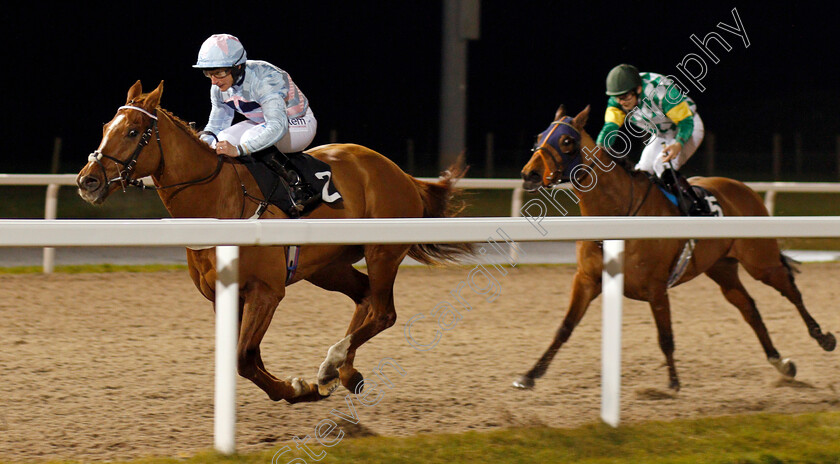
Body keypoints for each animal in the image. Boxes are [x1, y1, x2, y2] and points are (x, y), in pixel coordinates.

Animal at [77, 81, 472, 404]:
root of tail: (399, 173)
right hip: (327, 265)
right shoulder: (223, 293)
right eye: (105, 128)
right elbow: (246, 356)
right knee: (364, 298)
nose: (87, 181)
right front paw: (299, 386)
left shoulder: (266, 291)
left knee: (384, 312)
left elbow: (243, 357)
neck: (220, 201)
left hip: (382, 254)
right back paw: (343, 371)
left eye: (132, 131)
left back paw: (332, 364)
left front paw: (298, 389)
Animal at [516, 105, 836, 392]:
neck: (618, 214)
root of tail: (743, 188)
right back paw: (780, 362)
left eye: (566, 142)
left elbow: (666, 336)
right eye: (540, 136)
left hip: (761, 262)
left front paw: (673, 382)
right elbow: (565, 327)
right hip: (722, 268)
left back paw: (823, 337)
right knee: (750, 308)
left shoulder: (656, 286)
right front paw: (530, 375)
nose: (529, 174)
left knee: (791, 291)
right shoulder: (586, 279)